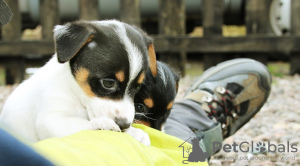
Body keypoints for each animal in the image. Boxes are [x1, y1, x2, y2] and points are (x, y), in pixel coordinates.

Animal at [0, 20, 158, 146]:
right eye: (108, 83)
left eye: (137, 86)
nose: (124, 124)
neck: (77, 94)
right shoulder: (50, 120)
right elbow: (80, 123)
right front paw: (102, 124)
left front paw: (135, 132)